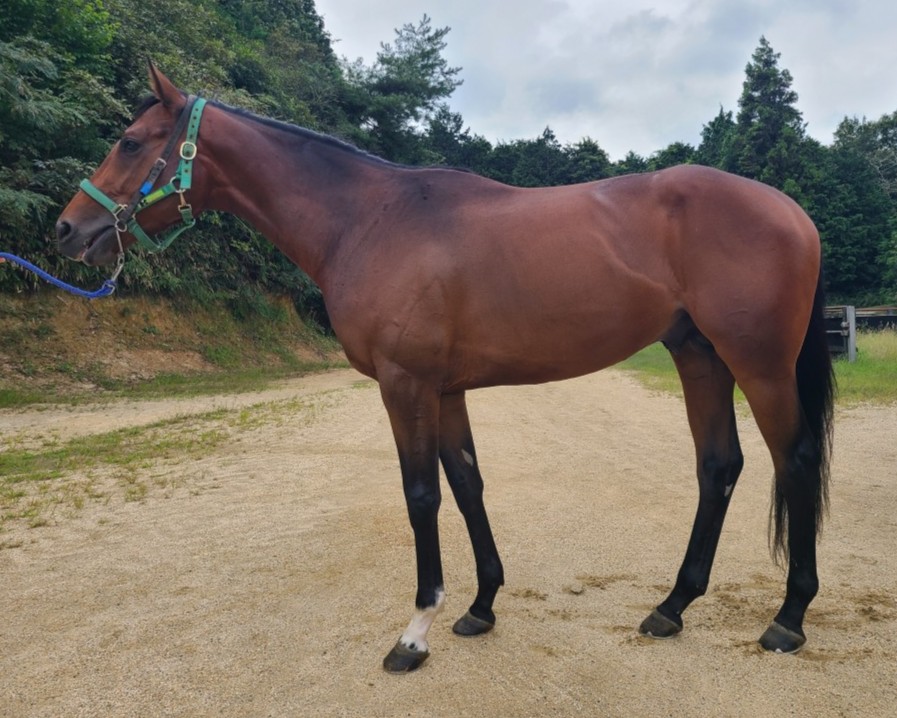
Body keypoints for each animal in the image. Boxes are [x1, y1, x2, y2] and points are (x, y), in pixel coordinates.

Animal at [56, 64, 834, 673]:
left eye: (130, 142)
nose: (67, 229)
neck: (368, 220)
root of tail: (792, 210)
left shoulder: (406, 386)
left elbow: (421, 495)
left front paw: (415, 633)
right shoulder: (448, 388)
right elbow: (466, 485)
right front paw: (481, 606)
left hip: (758, 363)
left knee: (792, 459)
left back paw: (787, 619)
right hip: (698, 355)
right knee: (719, 465)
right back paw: (671, 607)